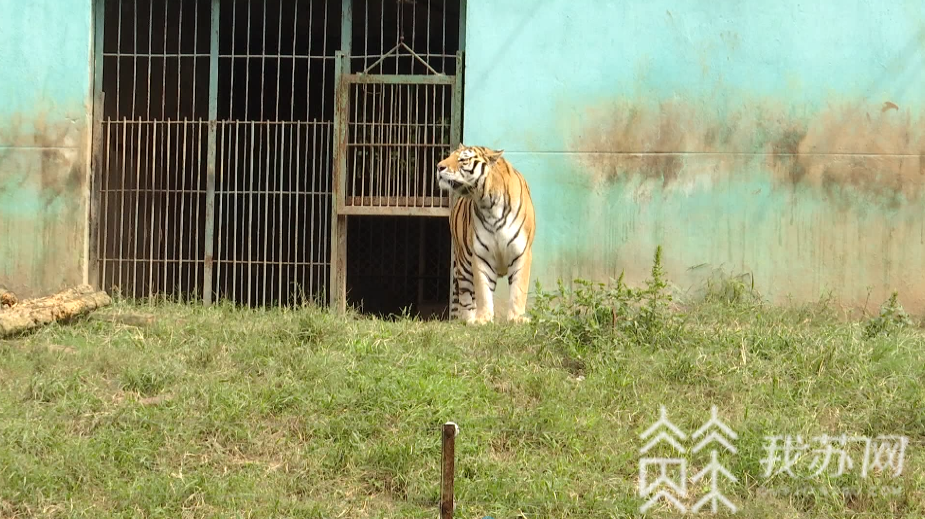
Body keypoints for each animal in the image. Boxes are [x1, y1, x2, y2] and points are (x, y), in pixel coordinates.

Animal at [436, 144, 536, 324]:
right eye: (450, 156)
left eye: (463, 159)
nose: (439, 167)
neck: (489, 203)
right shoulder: (481, 255)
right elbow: (483, 290)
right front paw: (482, 319)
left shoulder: (521, 252)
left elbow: (518, 289)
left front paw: (516, 318)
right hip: (463, 263)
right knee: (466, 296)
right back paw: (467, 319)